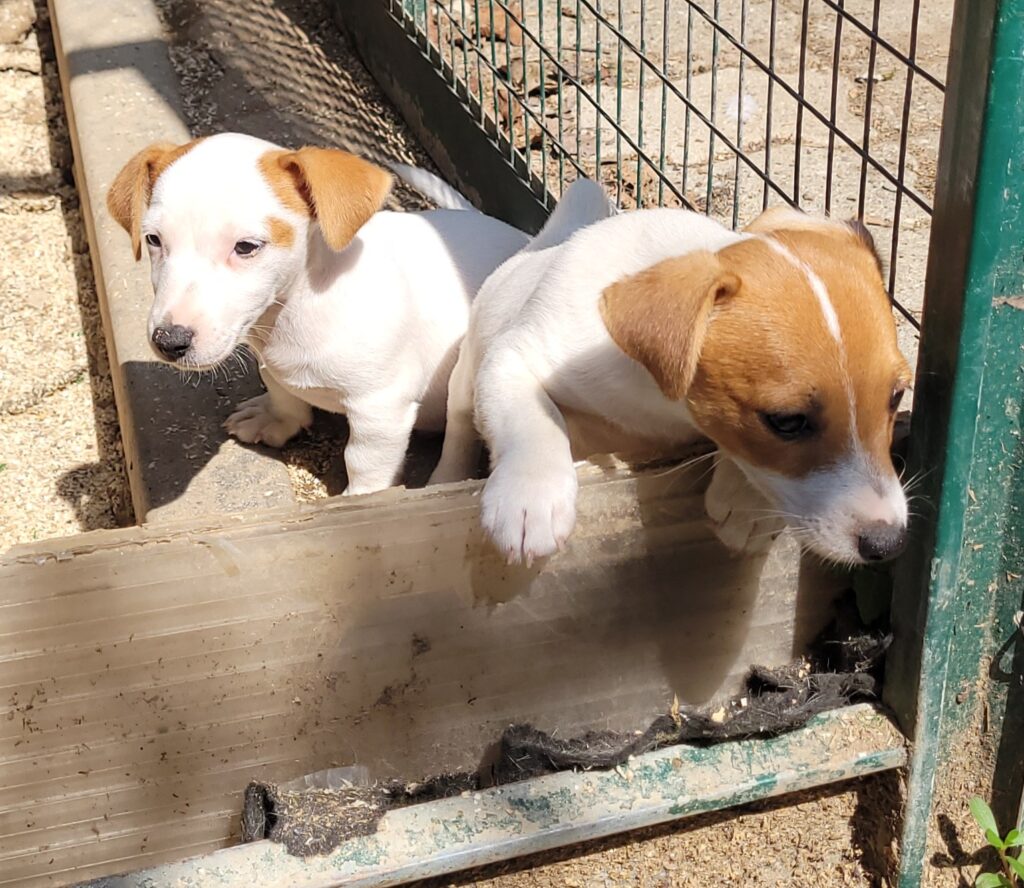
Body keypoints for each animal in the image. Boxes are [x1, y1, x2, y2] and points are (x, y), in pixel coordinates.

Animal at [107, 133, 528, 495]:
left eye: (246, 247)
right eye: (153, 239)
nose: (169, 341)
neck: (292, 311)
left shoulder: (380, 409)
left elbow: (363, 463)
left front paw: (358, 500)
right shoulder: (273, 364)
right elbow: (282, 393)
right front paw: (275, 419)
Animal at [432, 185, 913, 569]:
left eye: (897, 396)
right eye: (787, 422)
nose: (888, 544)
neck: (659, 404)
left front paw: (745, 506)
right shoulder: (515, 355)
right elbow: (533, 416)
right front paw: (531, 497)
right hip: (466, 378)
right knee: (459, 427)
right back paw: (444, 478)